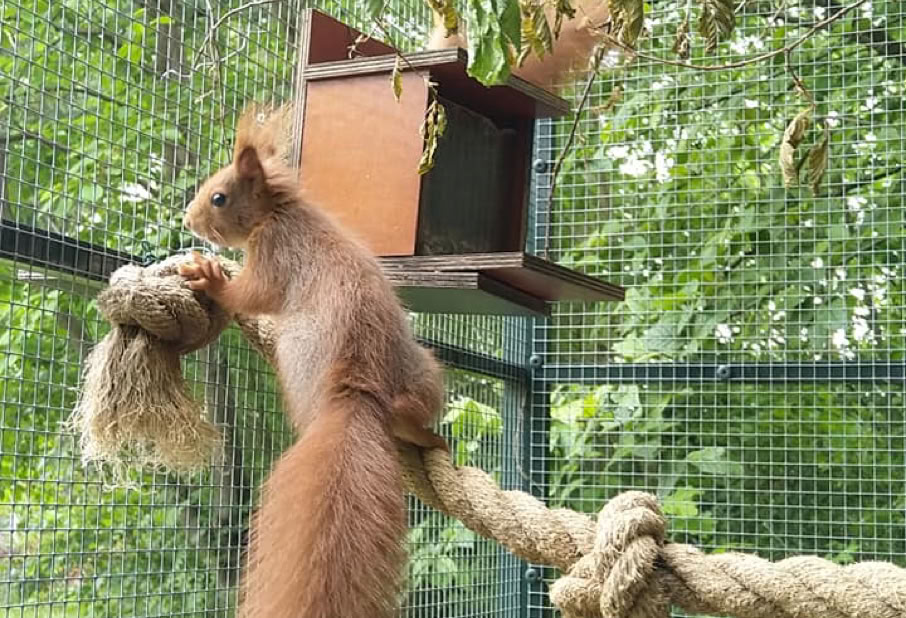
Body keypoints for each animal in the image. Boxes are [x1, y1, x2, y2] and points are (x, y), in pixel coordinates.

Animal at [178, 103, 448, 618]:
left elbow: (250, 294)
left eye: (218, 198)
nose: (188, 220)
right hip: (425, 371)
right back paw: (423, 433)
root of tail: (358, 391)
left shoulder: (274, 255)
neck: (278, 211)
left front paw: (210, 276)